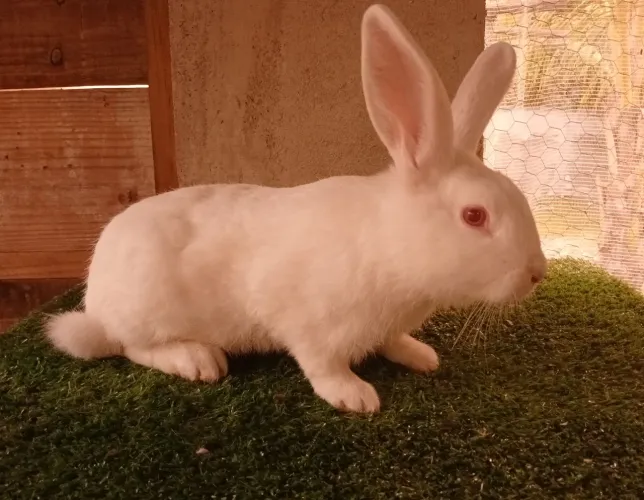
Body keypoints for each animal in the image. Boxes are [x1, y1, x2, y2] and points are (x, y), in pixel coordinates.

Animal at [45, 4, 546, 414]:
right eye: (475, 216)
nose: (536, 273)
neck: (390, 245)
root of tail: (97, 300)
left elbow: (393, 342)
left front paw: (421, 356)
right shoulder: (310, 326)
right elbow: (321, 365)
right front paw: (355, 396)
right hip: (148, 310)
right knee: (130, 347)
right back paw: (199, 360)